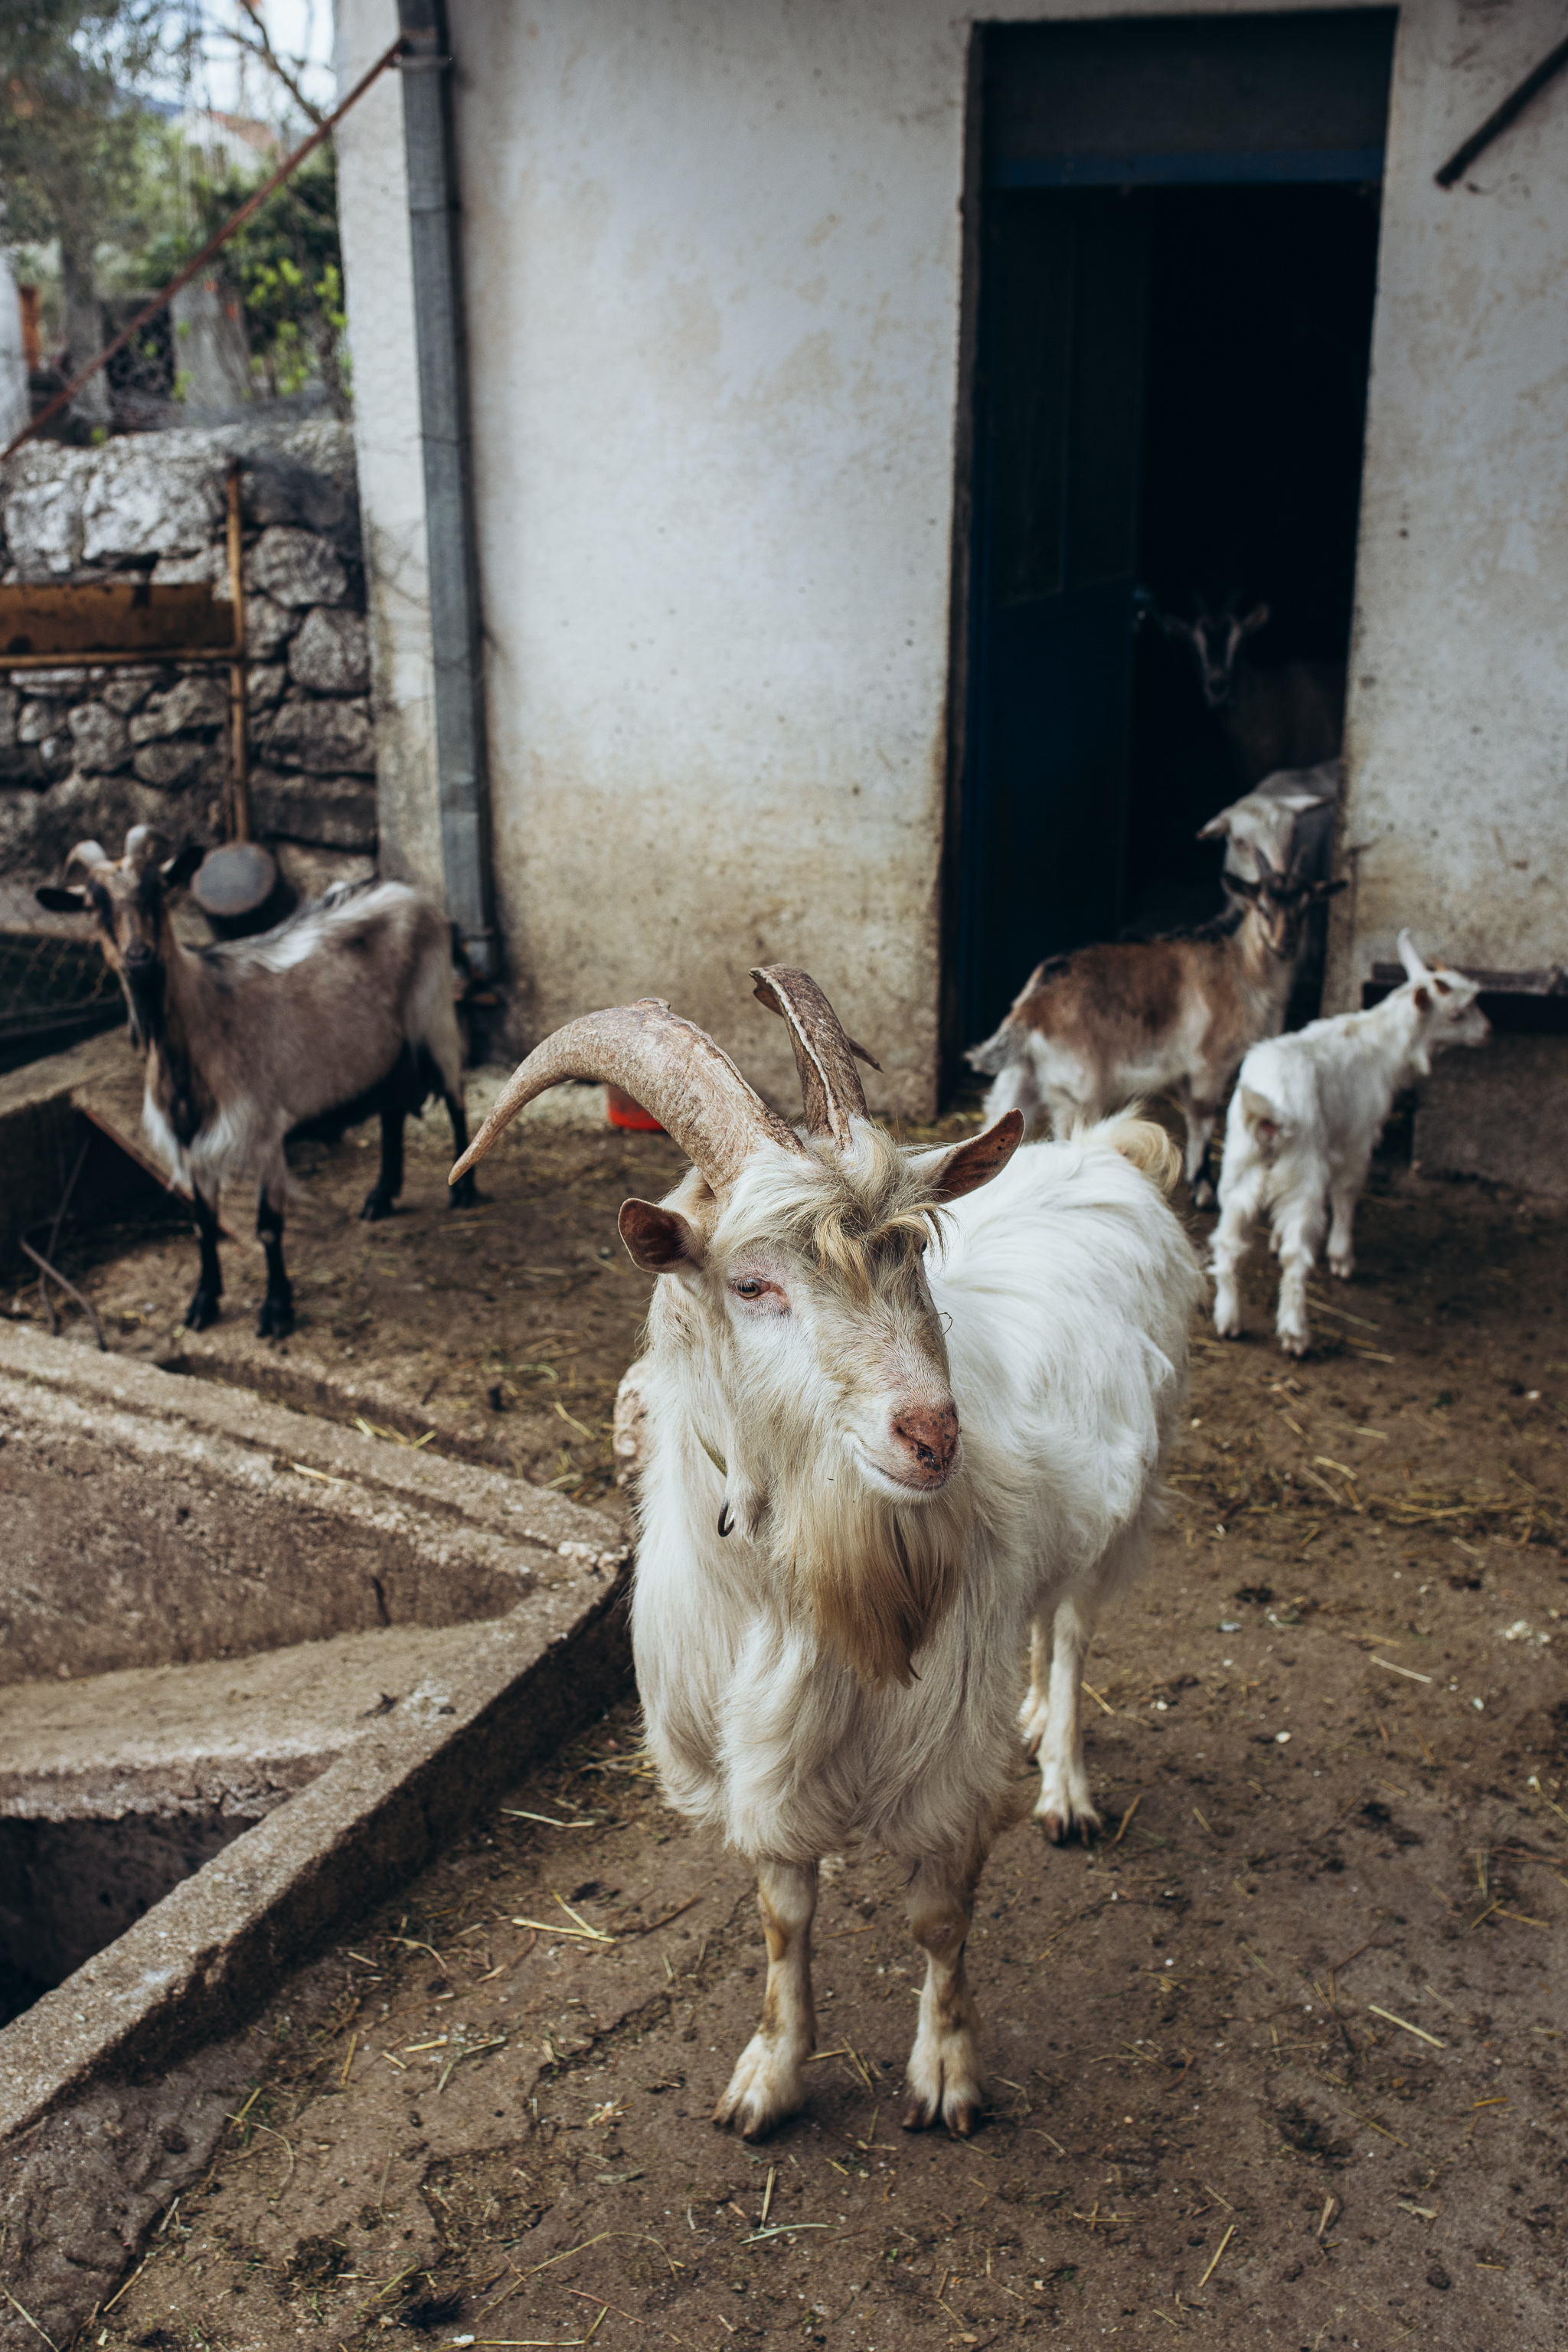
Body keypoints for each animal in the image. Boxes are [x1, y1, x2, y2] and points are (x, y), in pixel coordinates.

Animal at [37, 827, 475, 1337]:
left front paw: (277, 1309)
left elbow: (268, 1226)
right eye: (94, 904)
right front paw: (203, 1302)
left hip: (433, 1014)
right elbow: (203, 1223)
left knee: (455, 1095)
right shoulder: (191, 1142)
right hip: (385, 1049)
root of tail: (413, 895)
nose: (139, 957)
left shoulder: (263, 1130)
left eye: (157, 890)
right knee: (390, 1110)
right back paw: (381, 1195)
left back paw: (463, 1191)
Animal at [452, 967, 1202, 2139]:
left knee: (1074, 1630)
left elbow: (939, 1922)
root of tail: (1108, 1152)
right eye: (752, 1285)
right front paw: (768, 2076)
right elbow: (782, 1916)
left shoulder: (940, 1753)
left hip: (1126, 1500)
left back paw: (1064, 1784)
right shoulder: (755, 1757)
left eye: (916, 1249)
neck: (795, 1587)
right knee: (1041, 1626)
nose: (931, 1435)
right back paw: (1033, 1717)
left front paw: (946, 2075)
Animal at [966, 851, 1344, 1206]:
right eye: (1262, 908)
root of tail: (1032, 1008)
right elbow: (1203, 1116)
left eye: (1306, 908)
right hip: (1077, 1093)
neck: (1242, 966)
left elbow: (1191, 1111)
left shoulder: (1183, 1071)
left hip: (1020, 1080)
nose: (1286, 945)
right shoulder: (1211, 1062)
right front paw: (1203, 1189)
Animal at [1212, 931, 1490, 1355]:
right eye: (1457, 1014)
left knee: (1228, 1242)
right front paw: (1342, 1257)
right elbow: (1347, 1191)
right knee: (1296, 1254)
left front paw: (1273, 1237)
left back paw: (1228, 1319)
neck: (1378, 1044)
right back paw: (1295, 1332)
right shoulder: (1359, 1135)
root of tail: (1270, 1108)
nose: (1489, 1031)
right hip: (1303, 1166)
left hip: (1240, 1163)